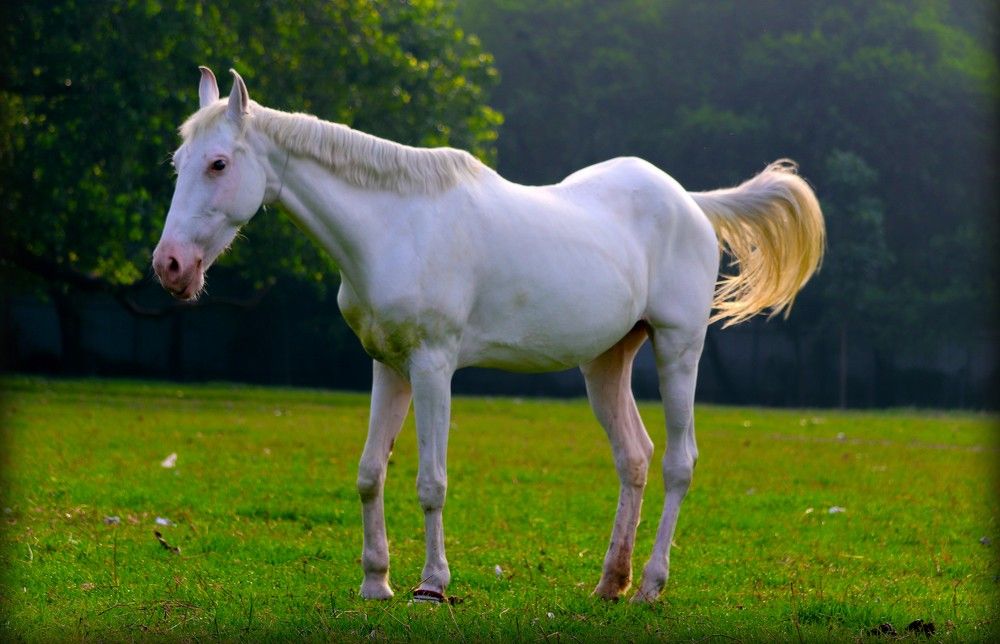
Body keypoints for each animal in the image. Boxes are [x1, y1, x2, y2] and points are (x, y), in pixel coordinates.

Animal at [153, 67, 824, 603]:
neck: (395, 225)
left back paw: (651, 587)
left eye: (219, 164)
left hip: (677, 347)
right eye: (179, 165)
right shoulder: (386, 366)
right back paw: (611, 582)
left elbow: (431, 482)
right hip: (607, 361)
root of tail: (690, 201)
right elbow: (370, 472)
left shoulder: (431, 367)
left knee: (679, 463)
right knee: (633, 457)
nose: (170, 267)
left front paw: (431, 587)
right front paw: (375, 583)